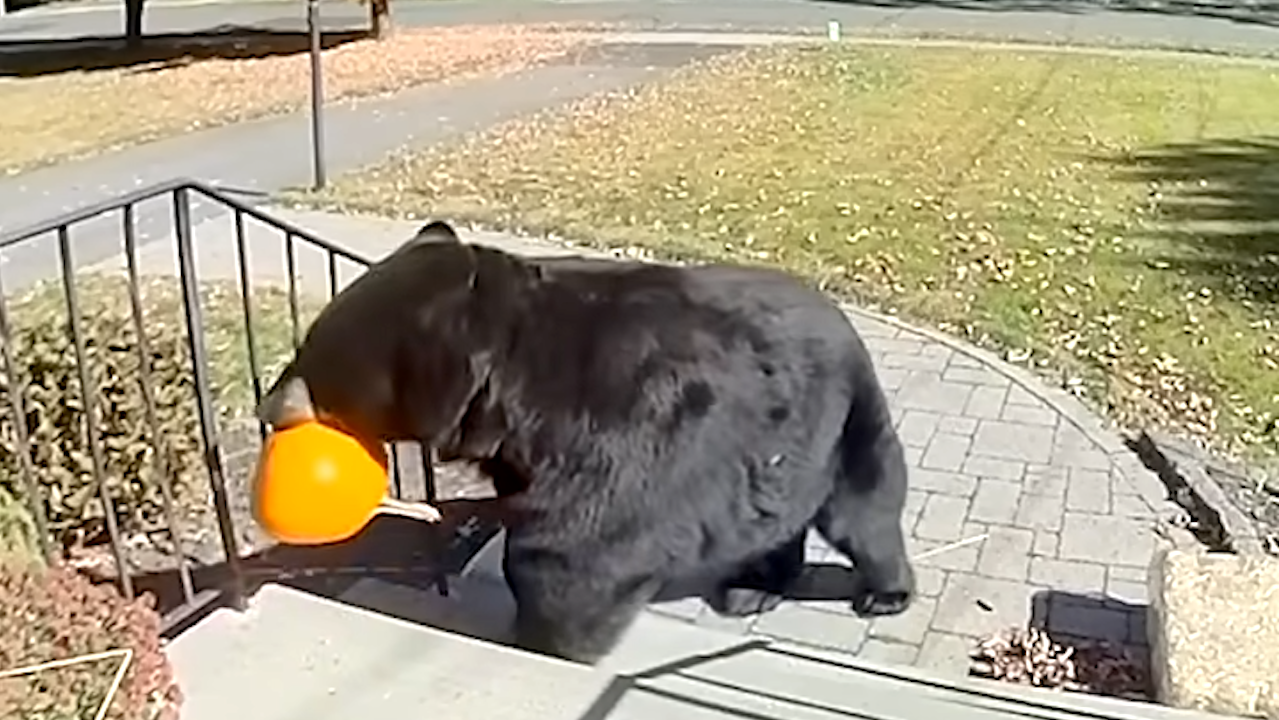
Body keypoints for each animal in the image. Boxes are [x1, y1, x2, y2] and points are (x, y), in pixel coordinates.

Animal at [259, 219, 915, 665]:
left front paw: (546, 638)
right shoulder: (519, 456)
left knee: (863, 512)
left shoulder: (619, 424)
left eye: (317, 360)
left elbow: (576, 549)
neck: (507, 393)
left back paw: (884, 594)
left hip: (844, 415)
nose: (267, 406)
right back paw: (752, 588)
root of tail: (842, 315)